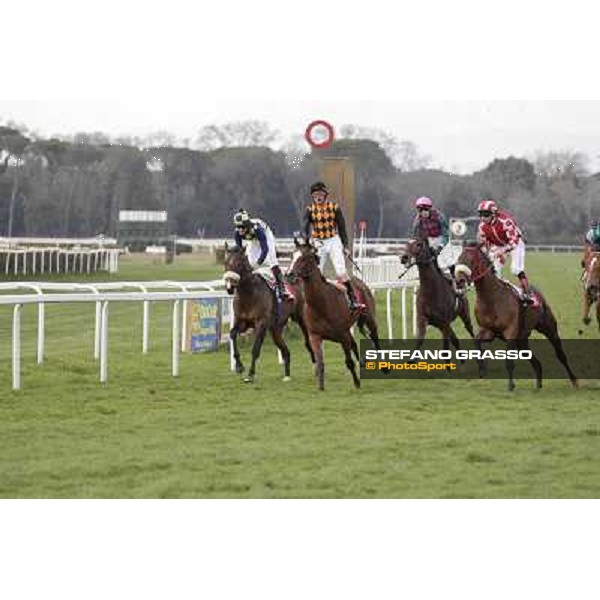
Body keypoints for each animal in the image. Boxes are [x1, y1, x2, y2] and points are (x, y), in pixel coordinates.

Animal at [221, 245, 314, 382]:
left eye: (238, 263)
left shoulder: (261, 323)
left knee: (308, 342)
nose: (229, 287)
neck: (249, 294)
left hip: (301, 320)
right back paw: (287, 375)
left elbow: (255, 349)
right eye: (226, 263)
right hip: (275, 329)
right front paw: (239, 366)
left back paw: (315, 365)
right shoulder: (242, 321)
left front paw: (251, 374)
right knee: (286, 351)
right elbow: (232, 334)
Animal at [290, 241, 384, 392]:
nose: (289, 275)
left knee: (375, 339)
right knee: (355, 344)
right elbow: (320, 362)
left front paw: (357, 383)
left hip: (369, 318)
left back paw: (383, 367)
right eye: (292, 255)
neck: (321, 304)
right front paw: (321, 386)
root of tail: (357, 280)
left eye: (304, 258)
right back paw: (362, 363)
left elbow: (349, 361)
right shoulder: (315, 336)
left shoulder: (342, 335)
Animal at [454, 241, 576, 392]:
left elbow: (509, 361)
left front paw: (511, 385)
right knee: (536, 362)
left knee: (560, 354)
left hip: (549, 328)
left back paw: (574, 381)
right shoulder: (488, 331)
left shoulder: (510, 332)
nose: (459, 281)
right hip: (522, 339)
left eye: (471, 260)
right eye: (459, 258)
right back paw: (538, 385)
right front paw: (482, 368)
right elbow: (476, 342)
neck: (492, 298)